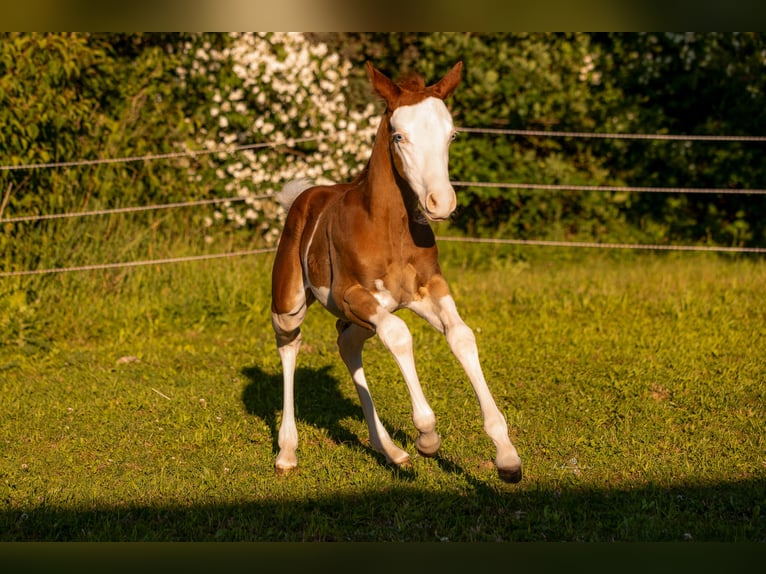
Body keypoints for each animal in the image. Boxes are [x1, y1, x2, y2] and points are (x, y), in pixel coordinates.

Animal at [270, 61, 522, 483]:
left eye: (451, 134)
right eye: (399, 135)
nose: (441, 202)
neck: (389, 228)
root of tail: (301, 198)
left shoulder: (428, 289)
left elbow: (461, 336)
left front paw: (507, 457)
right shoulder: (351, 295)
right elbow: (401, 335)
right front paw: (427, 435)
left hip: (361, 318)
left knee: (348, 344)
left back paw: (389, 450)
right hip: (289, 301)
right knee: (290, 344)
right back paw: (287, 452)